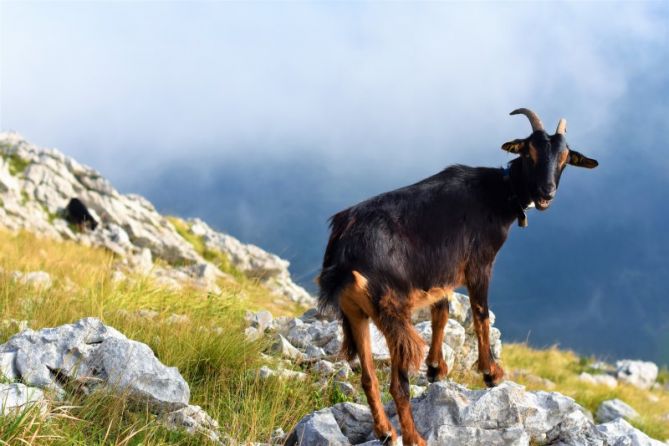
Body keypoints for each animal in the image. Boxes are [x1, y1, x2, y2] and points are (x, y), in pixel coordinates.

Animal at [316, 109, 596, 446]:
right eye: (529, 152)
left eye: (565, 157)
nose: (546, 193)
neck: (499, 193)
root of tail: (343, 253)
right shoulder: (479, 263)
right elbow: (480, 314)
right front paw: (491, 373)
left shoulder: (442, 271)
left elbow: (442, 311)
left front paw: (436, 368)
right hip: (393, 312)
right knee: (397, 384)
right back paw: (414, 438)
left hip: (355, 313)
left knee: (368, 377)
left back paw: (386, 430)